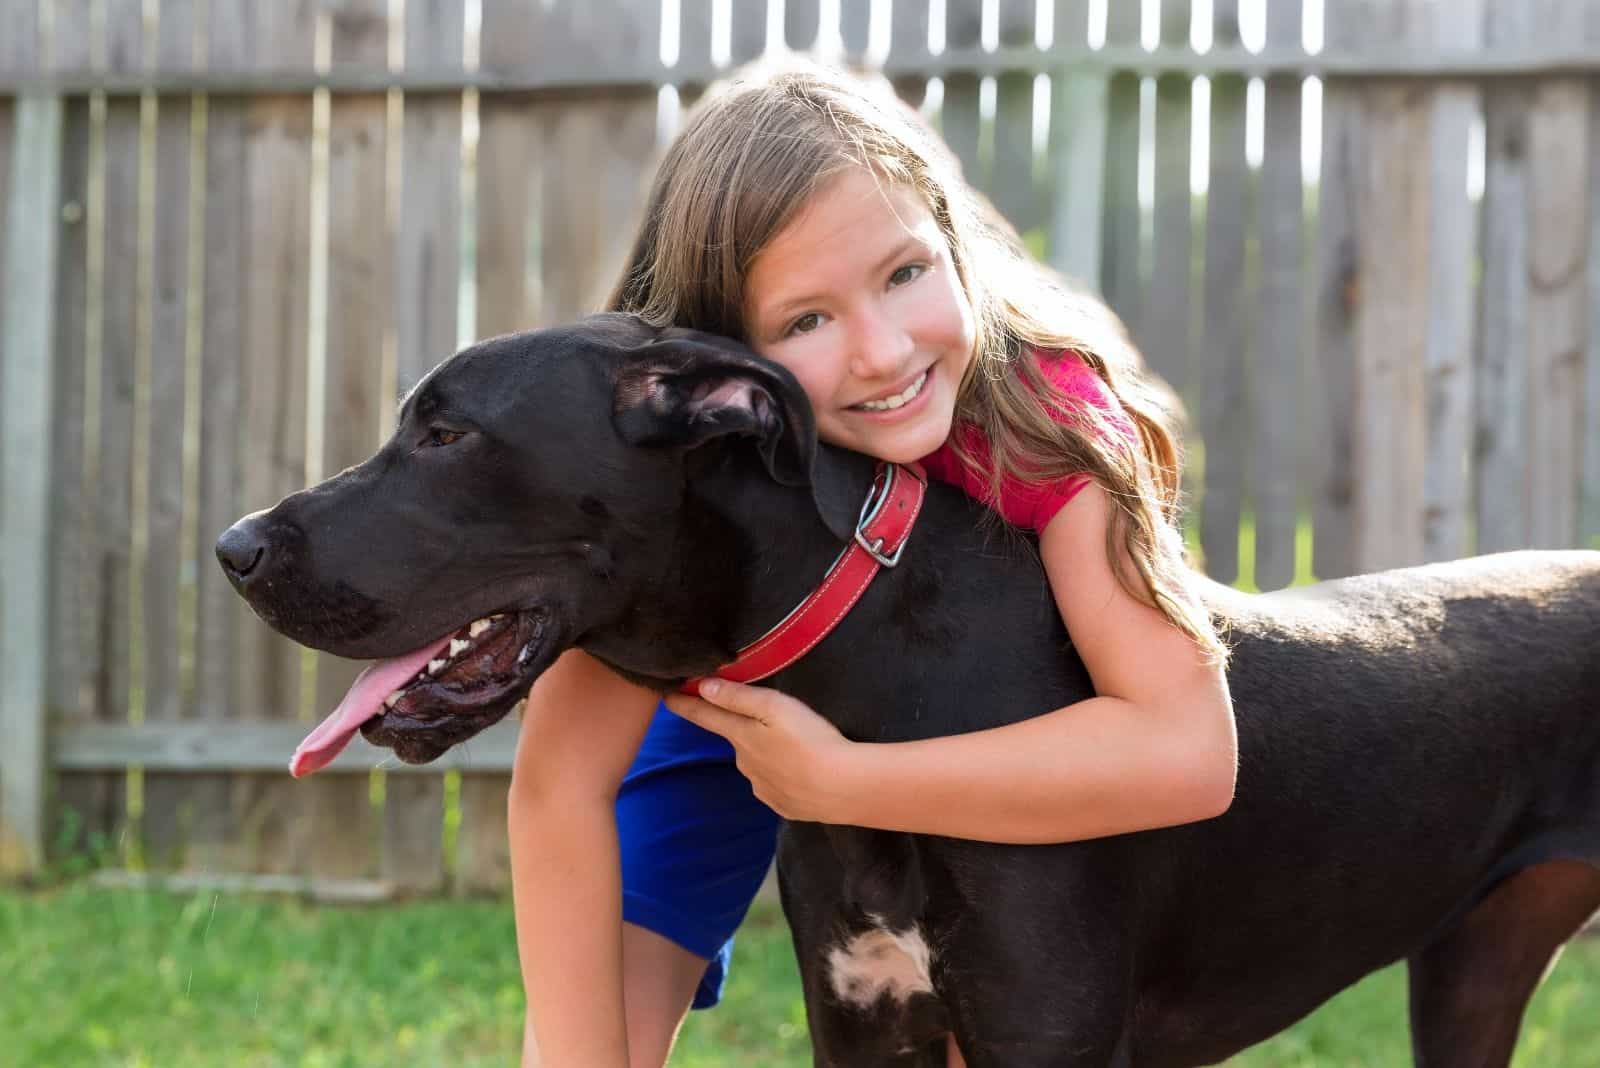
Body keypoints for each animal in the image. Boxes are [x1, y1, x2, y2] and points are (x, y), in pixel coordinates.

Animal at [219, 316, 1600, 1068]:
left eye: (446, 434)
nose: (233, 546)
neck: (883, 684)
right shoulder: (862, 1024)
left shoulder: (1046, 1035)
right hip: (1469, 972)